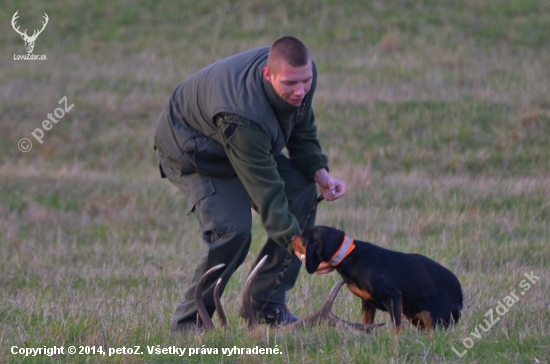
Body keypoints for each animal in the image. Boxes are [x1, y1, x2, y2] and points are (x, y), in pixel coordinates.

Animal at [294, 228, 466, 332]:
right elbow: (367, 325)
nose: (292, 236)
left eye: (303, 237)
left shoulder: (393, 296)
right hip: (414, 314)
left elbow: (397, 327)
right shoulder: (367, 302)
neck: (348, 254)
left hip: (434, 318)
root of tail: (460, 299)